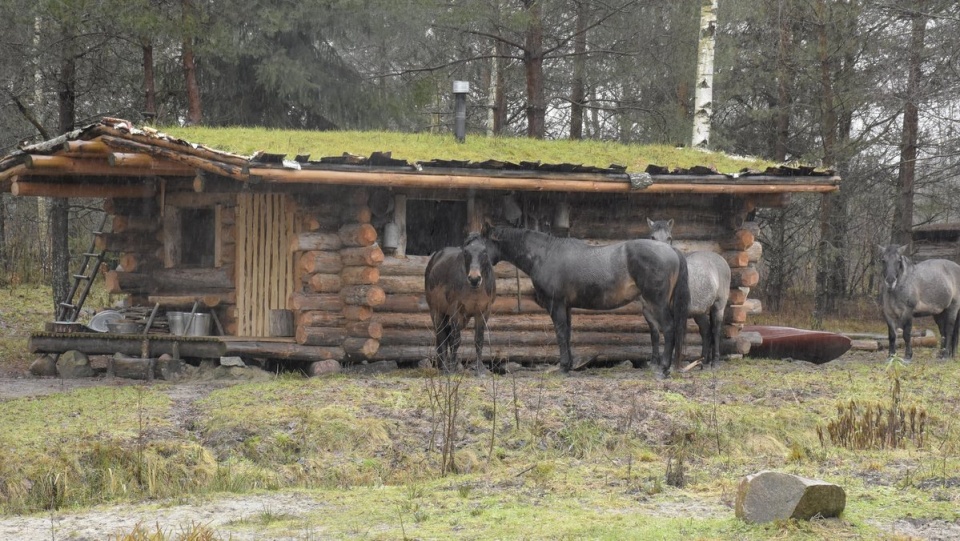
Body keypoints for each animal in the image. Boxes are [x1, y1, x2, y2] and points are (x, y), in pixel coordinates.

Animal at [648, 217, 732, 364]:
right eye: (653, 237)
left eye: (669, 238)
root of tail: (720, 259)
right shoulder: (648, 313)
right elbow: (655, 335)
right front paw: (654, 362)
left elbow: (674, 335)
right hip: (700, 311)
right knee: (706, 331)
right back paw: (703, 362)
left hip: (718, 305)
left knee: (715, 330)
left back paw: (715, 362)